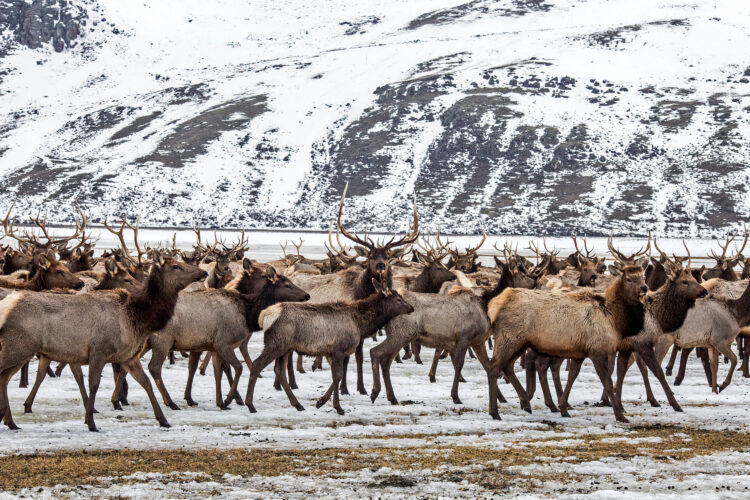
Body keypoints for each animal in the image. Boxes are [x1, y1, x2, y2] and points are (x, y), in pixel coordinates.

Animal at [0, 253, 207, 431]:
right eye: (176, 266)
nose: (203, 273)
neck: (137, 319)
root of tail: (6, 306)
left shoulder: (127, 356)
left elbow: (145, 382)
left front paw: (163, 419)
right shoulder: (99, 350)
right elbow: (93, 384)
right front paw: (91, 422)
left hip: (21, 350)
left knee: (4, 377)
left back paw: (10, 421)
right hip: (18, 347)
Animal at [247, 279, 414, 415]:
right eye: (398, 299)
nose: (411, 308)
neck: (360, 325)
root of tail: (263, 316)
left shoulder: (329, 352)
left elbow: (336, 378)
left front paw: (324, 402)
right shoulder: (339, 348)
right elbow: (338, 376)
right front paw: (334, 406)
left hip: (286, 348)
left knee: (279, 370)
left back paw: (298, 405)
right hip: (276, 344)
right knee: (257, 364)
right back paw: (250, 405)